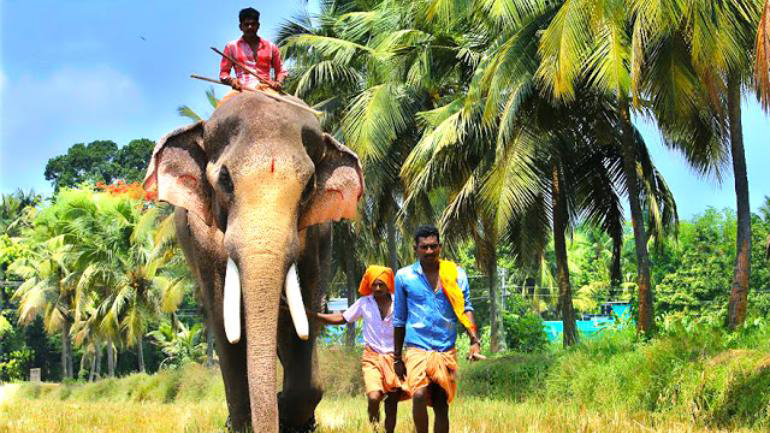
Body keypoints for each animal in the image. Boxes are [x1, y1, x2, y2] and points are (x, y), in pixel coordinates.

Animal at [142, 92, 364, 432]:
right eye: (225, 180)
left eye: (309, 187)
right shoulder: (202, 239)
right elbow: (225, 321)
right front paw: (246, 424)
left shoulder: (317, 237)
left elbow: (303, 315)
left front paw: (286, 410)